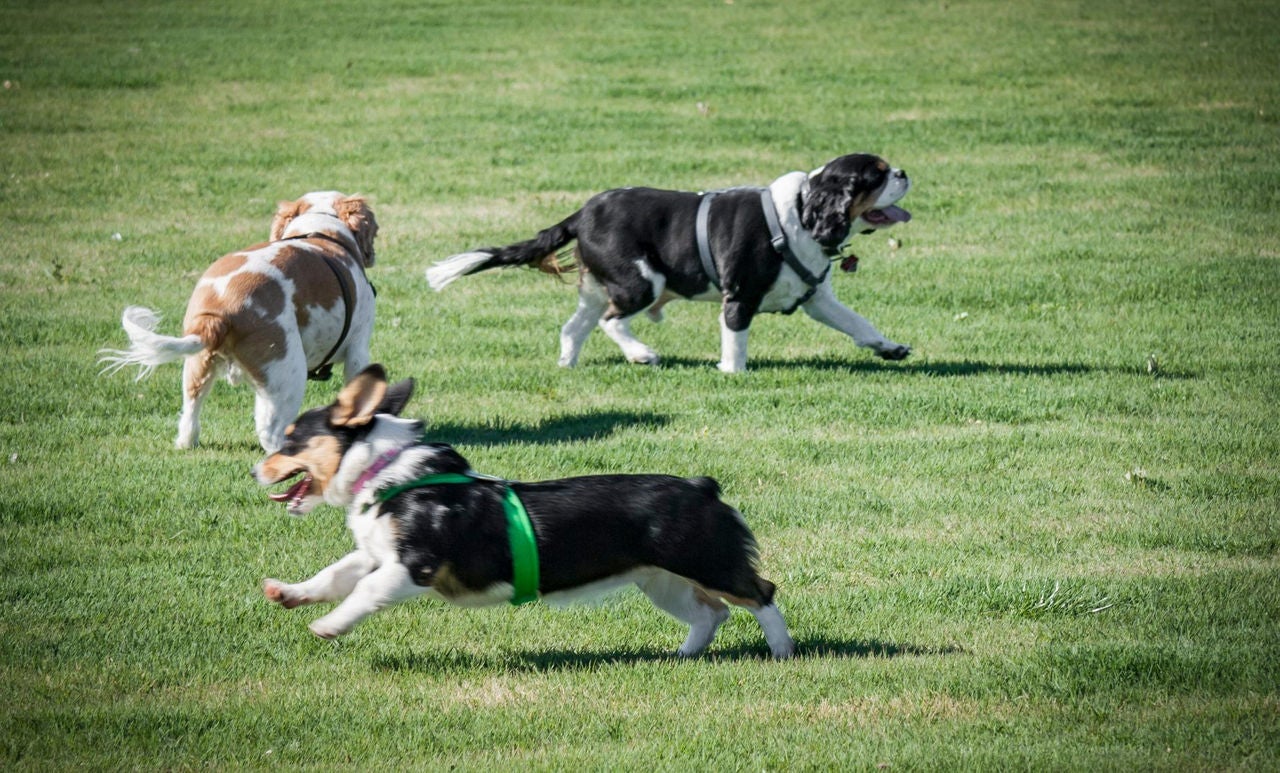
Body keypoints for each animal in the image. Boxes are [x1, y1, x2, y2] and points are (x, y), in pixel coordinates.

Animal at [100, 191, 378, 453]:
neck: (320, 229)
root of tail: (221, 310)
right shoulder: (358, 351)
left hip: (197, 365)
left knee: (190, 414)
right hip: (287, 372)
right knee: (271, 433)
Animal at [253, 365, 796, 659]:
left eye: (290, 440)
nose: (256, 470)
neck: (385, 471)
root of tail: (703, 487)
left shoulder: (413, 567)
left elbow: (362, 594)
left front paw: (329, 626)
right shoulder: (374, 555)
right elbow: (332, 575)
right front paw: (286, 594)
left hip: (705, 562)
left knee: (761, 594)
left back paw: (782, 651)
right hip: (661, 581)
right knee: (711, 613)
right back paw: (682, 655)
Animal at [426, 153, 911, 372]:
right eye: (877, 174)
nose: (905, 172)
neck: (802, 210)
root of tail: (582, 213)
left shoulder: (816, 298)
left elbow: (859, 323)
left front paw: (891, 348)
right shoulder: (739, 297)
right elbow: (735, 342)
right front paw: (733, 373)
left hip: (596, 287)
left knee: (574, 326)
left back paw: (569, 363)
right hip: (640, 281)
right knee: (611, 321)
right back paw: (641, 354)